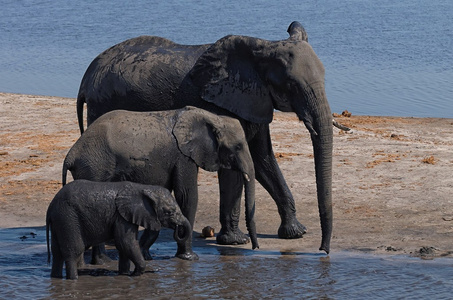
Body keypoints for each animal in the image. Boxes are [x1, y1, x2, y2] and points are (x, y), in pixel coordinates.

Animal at [44, 179, 189, 280]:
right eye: (169, 212)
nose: (177, 228)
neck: (143, 188)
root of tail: (50, 207)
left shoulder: (124, 216)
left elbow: (124, 246)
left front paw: (124, 274)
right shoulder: (122, 216)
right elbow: (126, 242)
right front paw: (135, 274)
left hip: (60, 221)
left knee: (57, 253)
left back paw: (56, 278)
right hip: (68, 217)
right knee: (73, 251)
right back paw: (73, 279)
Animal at [62, 106, 258, 262]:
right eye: (238, 147)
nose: (254, 247)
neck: (211, 117)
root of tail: (70, 156)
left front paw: (146, 255)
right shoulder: (183, 156)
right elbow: (187, 196)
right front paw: (189, 258)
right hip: (95, 167)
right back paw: (103, 260)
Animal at [77, 21, 332, 253]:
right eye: (291, 85)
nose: (323, 250)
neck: (263, 48)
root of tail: (86, 77)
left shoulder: (254, 100)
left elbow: (263, 160)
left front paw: (295, 232)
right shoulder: (223, 102)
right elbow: (233, 169)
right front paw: (235, 241)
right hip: (103, 104)